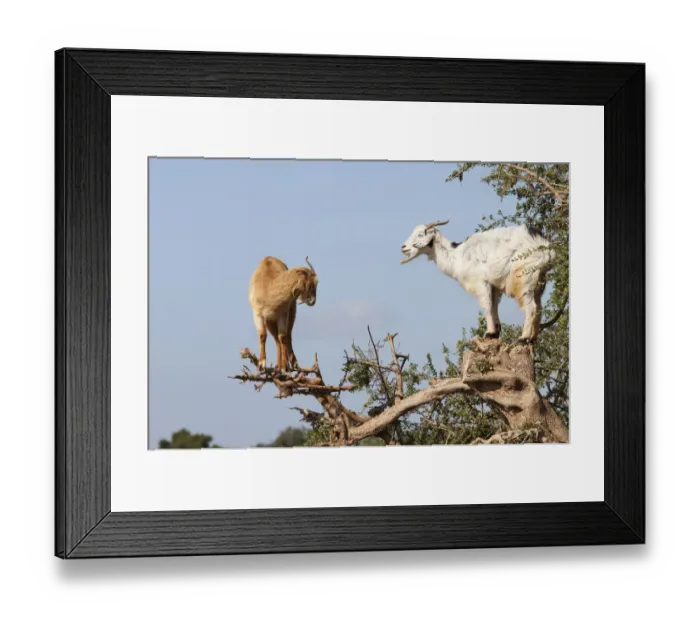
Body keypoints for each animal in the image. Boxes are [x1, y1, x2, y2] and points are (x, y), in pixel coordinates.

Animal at [400, 220, 555, 343]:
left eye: (421, 234)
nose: (403, 247)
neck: (457, 256)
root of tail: (546, 247)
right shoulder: (493, 285)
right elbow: (493, 306)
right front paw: (495, 332)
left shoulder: (480, 282)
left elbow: (486, 306)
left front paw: (489, 333)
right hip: (538, 281)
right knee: (539, 308)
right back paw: (532, 339)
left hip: (524, 278)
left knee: (531, 308)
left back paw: (524, 338)